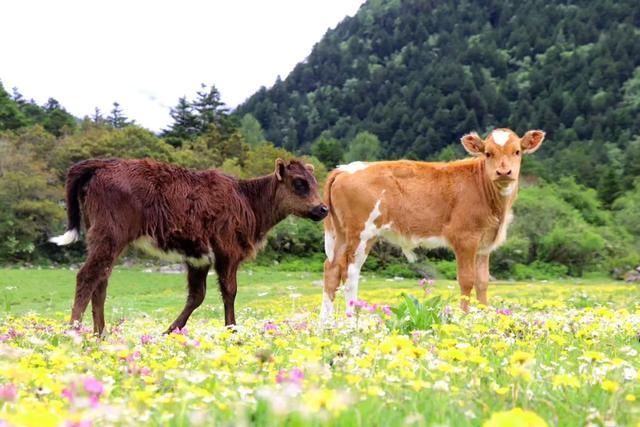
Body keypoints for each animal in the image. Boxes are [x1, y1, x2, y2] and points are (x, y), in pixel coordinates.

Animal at [52, 157, 328, 334]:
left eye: (314, 181)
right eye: (299, 182)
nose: (323, 208)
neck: (247, 199)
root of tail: (102, 164)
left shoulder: (199, 258)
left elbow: (197, 296)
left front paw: (169, 332)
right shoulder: (227, 252)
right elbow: (229, 291)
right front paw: (232, 330)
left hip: (104, 239)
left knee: (101, 280)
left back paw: (101, 335)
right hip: (109, 235)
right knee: (88, 276)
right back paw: (74, 332)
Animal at [320, 129, 544, 322]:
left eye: (517, 151)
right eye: (488, 153)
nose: (504, 172)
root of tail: (344, 169)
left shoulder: (484, 244)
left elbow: (483, 281)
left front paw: (483, 316)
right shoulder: (465, 238)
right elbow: (467, 279)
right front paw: (464, 318)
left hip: (341, 233)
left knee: (331, 269)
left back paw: (326, 323)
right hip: (361, 232)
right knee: (350, 272)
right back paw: (350, 319)